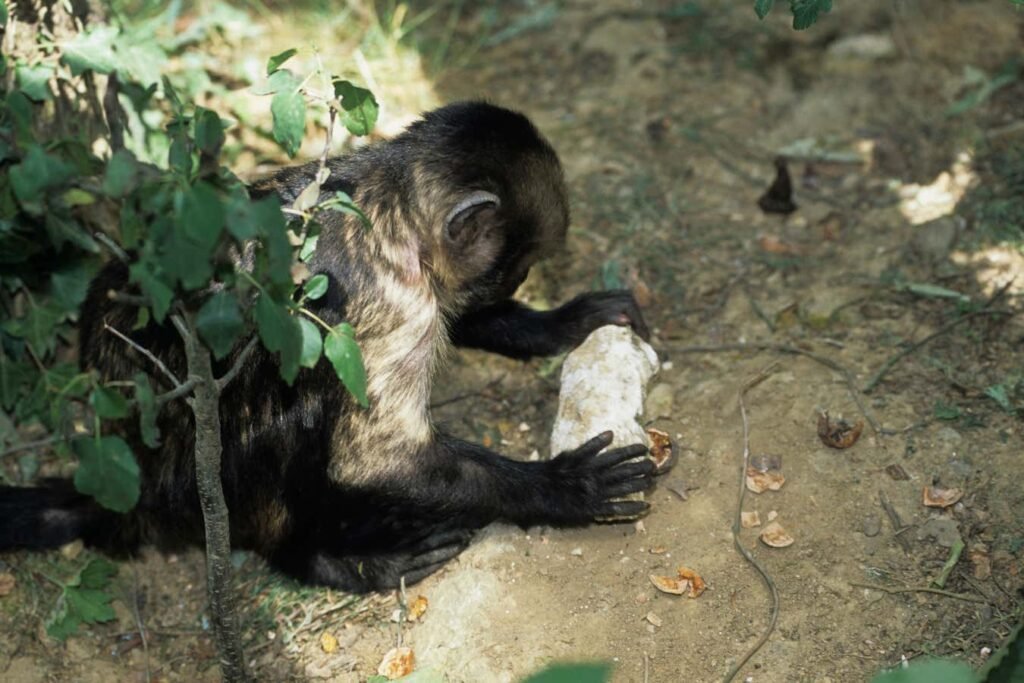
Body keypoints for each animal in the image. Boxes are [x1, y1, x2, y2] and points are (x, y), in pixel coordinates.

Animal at [0, 102, 668, 592]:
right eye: (519, 261)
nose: (523, 280)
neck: (387, 207)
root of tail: (135, 483)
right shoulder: (391, 298)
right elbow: (370, 462)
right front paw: (562, 488)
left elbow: (462, 317)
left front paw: (565, 322)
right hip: (201, 489)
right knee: (294, 410)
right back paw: (319, 559)